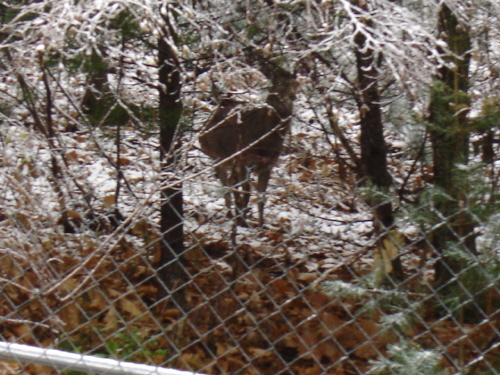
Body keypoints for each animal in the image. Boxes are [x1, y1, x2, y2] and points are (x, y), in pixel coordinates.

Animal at [199, 66, 298, 228]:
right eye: (279, 82)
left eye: (296, 83)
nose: (292, 96)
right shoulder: (245, 161)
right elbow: (247, 193)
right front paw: (244, 223)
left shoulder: (267, 165)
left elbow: (261, 197)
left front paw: (261, 225)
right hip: (218, 154)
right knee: (227, 183)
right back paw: (232, 214)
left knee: (231, 182)